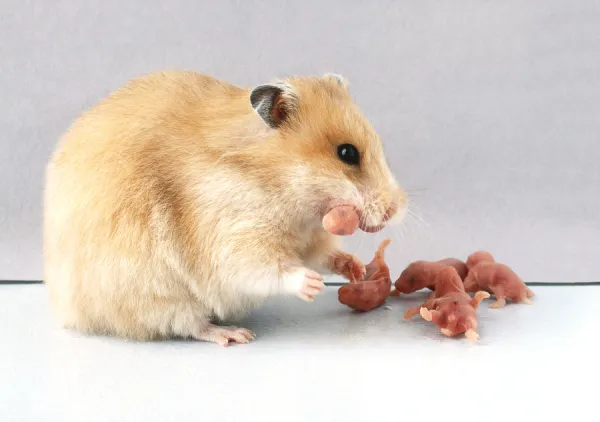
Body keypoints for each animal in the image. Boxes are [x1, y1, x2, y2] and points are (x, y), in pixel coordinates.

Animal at [43, 70, 408, 346]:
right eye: (347, 153)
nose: (396, 210)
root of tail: (67, 311)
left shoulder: (310, 239)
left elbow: (326, 256)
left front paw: (356, 269)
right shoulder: (234, 236)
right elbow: (267, 269)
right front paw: (311, 284)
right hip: (154, 293)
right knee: (189, 325)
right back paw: (236, 335)